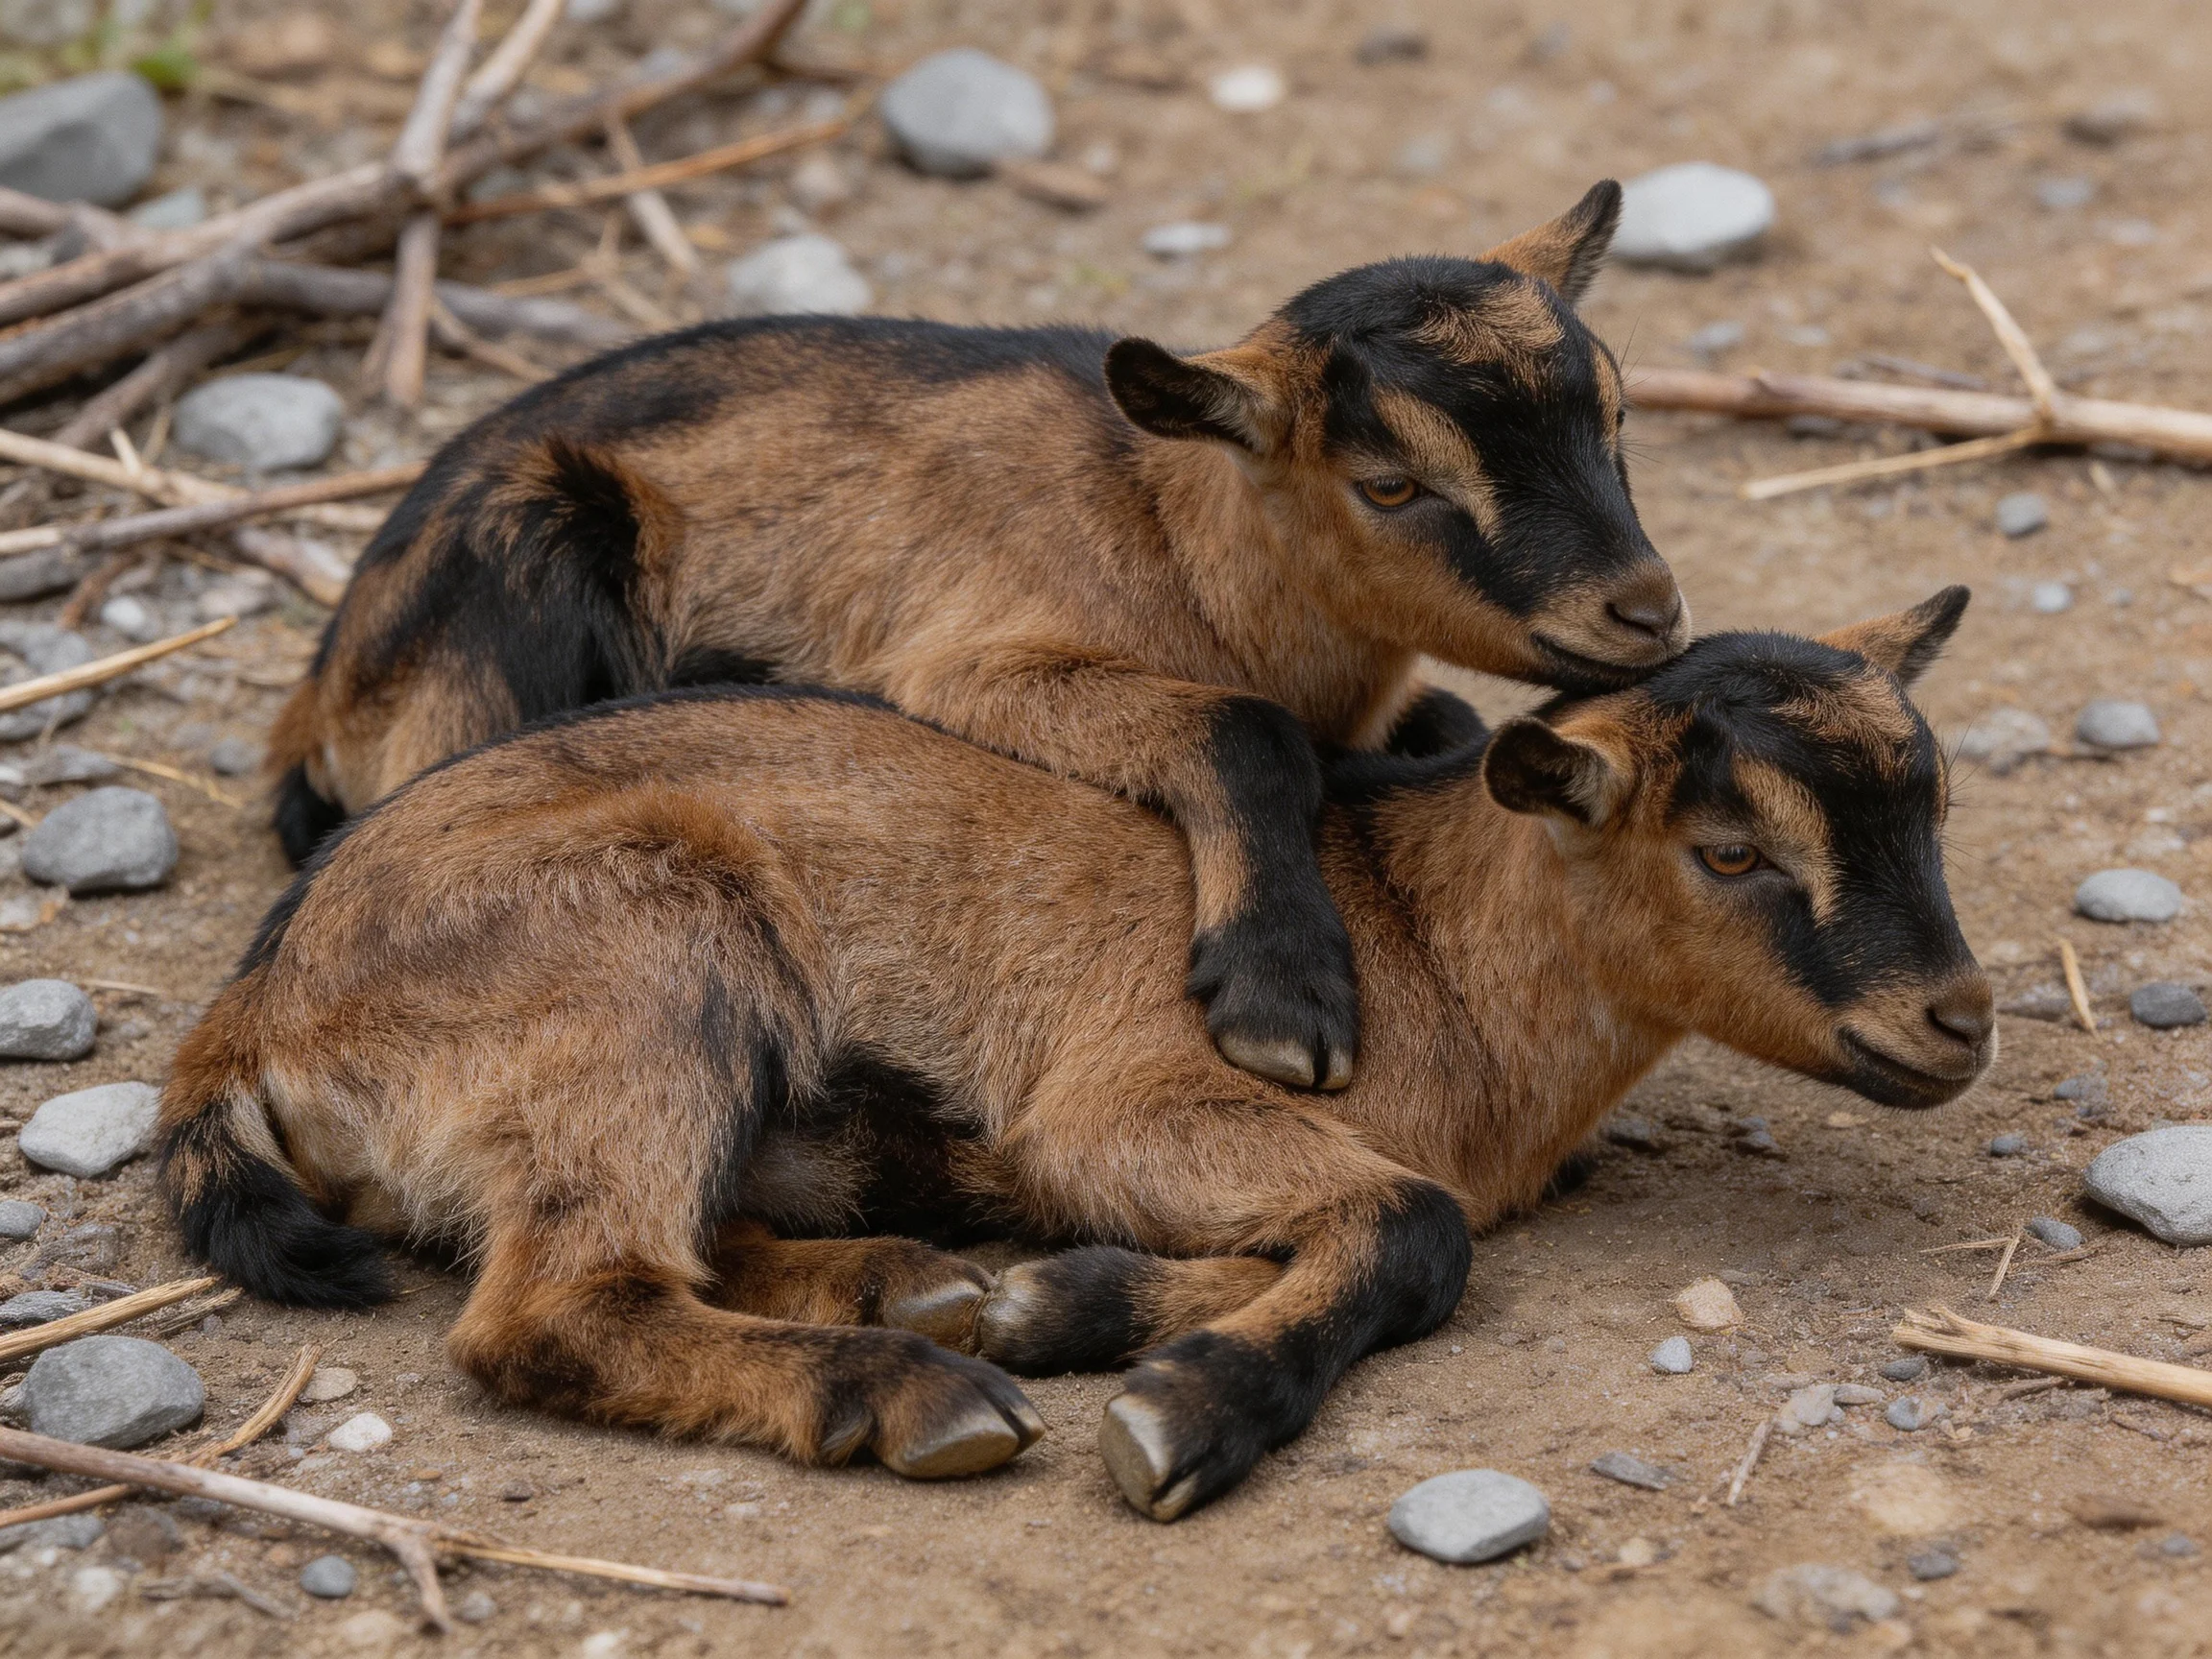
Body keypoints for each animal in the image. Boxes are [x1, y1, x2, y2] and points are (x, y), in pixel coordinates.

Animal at [164, 589, 1988, 1521]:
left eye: (1931, 806)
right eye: (1729, 852)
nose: (1954, 1021)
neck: (1421, 932)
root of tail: (259, 1007)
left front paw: (1069, 1305)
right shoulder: (1122, 1099)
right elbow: (1412, 1227)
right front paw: (1184, 1408)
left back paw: (916, 1285)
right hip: (647, 967)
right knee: (554, 1306)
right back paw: (907, 1387)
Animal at [266, 181, 1685, 1095]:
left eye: (1620, 418)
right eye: (1389, 484)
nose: (1646, 611)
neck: (1167, 532)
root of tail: (324, 691)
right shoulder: (966, 662)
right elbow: (1246, 729)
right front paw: (1284, 993)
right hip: (537, 555)